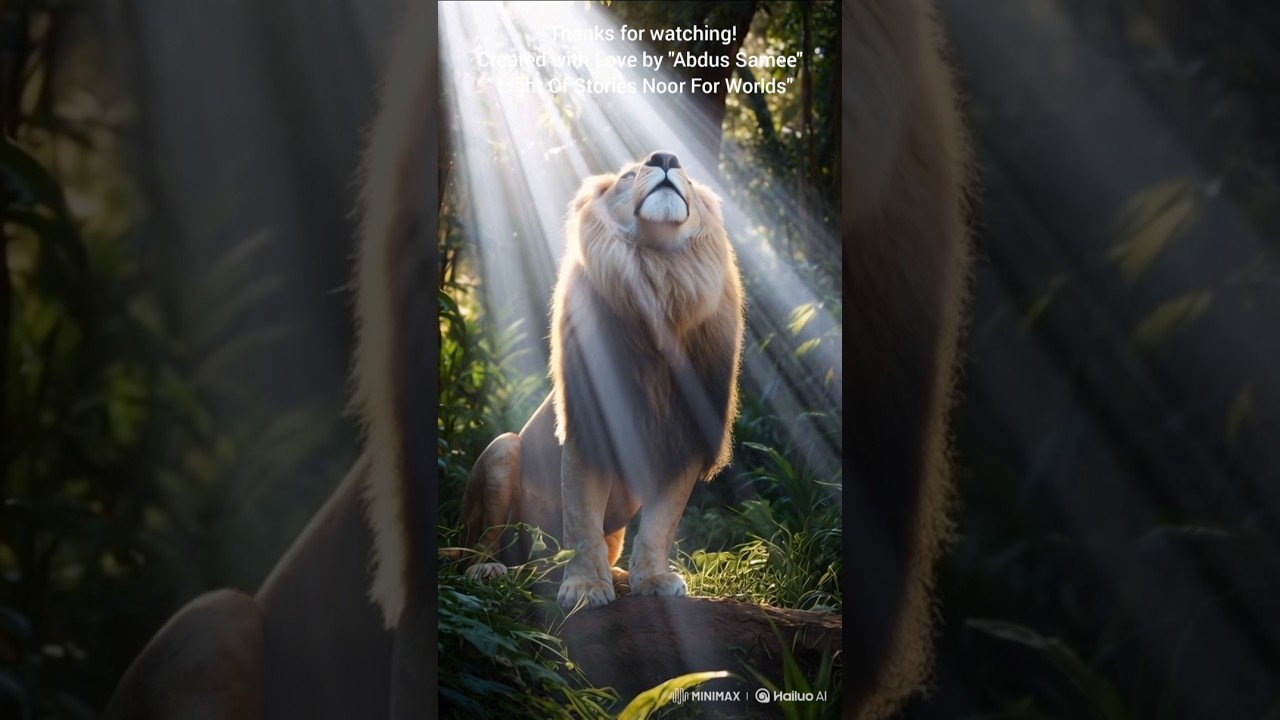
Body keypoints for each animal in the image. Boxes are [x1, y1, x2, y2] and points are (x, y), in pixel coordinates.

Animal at [459, 150, 745, 610]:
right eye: (628, 175)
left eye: (685, 174)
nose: (666, 157)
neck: (660, 274)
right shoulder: (585, 427)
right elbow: (582, 522)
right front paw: (585, 587)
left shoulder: (684, 438)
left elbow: (660, 525)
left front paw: (653, 578)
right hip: (503, 451)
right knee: (481, 545)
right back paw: (492, 570)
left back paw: (620, 574)